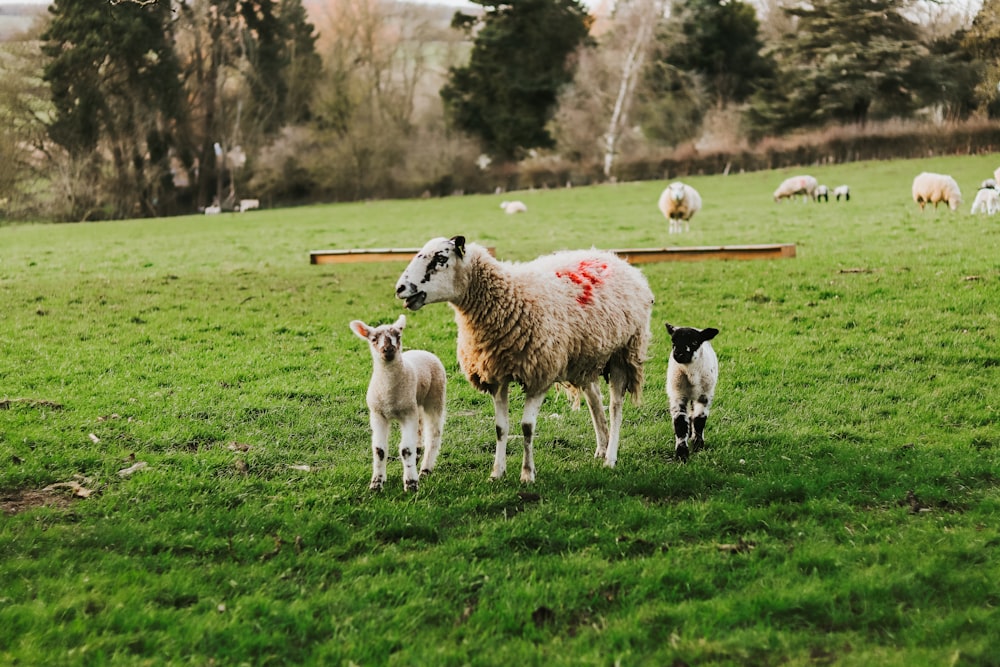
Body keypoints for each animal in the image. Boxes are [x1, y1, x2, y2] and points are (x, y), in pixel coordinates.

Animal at [352, 316, 446, 494]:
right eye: (373, 339)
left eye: (399, 336)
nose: (388, 349)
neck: (389, 395)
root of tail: (422, 351)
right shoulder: (378, 414)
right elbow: (379, 450)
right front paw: (376, 484)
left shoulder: (407, 414)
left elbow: (406, 450)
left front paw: (411, 484)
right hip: (416, 403)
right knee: (419, 430)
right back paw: (417, 457)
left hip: (435, 397)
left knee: (433, 434)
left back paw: (425, 470)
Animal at [394, 237, 652, 482]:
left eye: (440, 259)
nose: (400, 288)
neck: (508, 297)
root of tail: (611, 257)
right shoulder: (496, 376)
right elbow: (500, 428)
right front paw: (497, 473)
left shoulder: (540, 374)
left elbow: (527, 428)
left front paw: (527, 474)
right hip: (586, 356)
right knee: (595, 399)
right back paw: (602, 447)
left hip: (623, 352)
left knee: (616, 407)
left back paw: (610, 457)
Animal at [664, 324, 720, 464]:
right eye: (673, 341)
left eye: (694, 342)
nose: (678, 354)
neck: (691, 374)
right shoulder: (677, 396)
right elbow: (680, 423)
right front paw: (682, 454)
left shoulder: (704, 396)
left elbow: (699, 420)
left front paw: (698, 446)